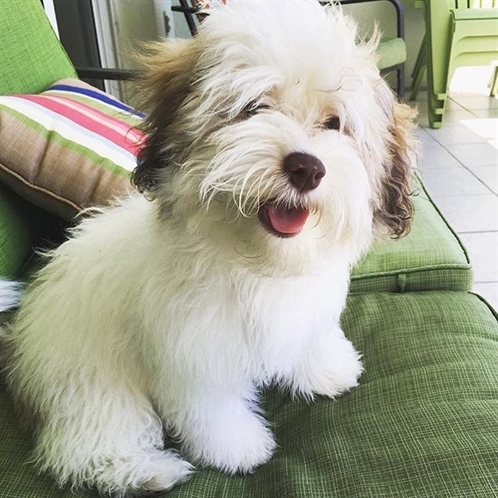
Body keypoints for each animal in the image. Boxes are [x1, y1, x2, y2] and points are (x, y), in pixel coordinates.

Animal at [2, 1, 416, 496]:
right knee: (86, 443)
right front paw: (239, 450)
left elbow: (308, 339)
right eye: (254, 108)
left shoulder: (304, 311)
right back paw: (146, 471)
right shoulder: (194, 353)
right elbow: (212, 409)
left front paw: (327, 369)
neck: (258, 262)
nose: (307, 167)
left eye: (335, 123)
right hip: (90, 379)